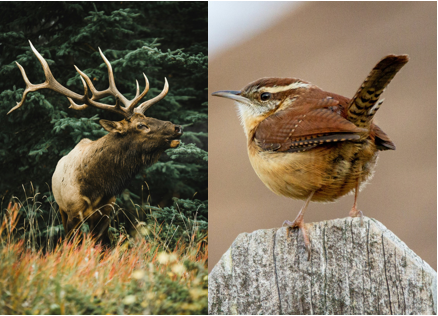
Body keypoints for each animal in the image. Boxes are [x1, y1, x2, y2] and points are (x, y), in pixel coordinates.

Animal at [8, 41, 183, 239]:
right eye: (141, 125)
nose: (177, 127)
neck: (97, 186)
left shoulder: (105, 212)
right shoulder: (73, 211)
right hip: (61, 209)